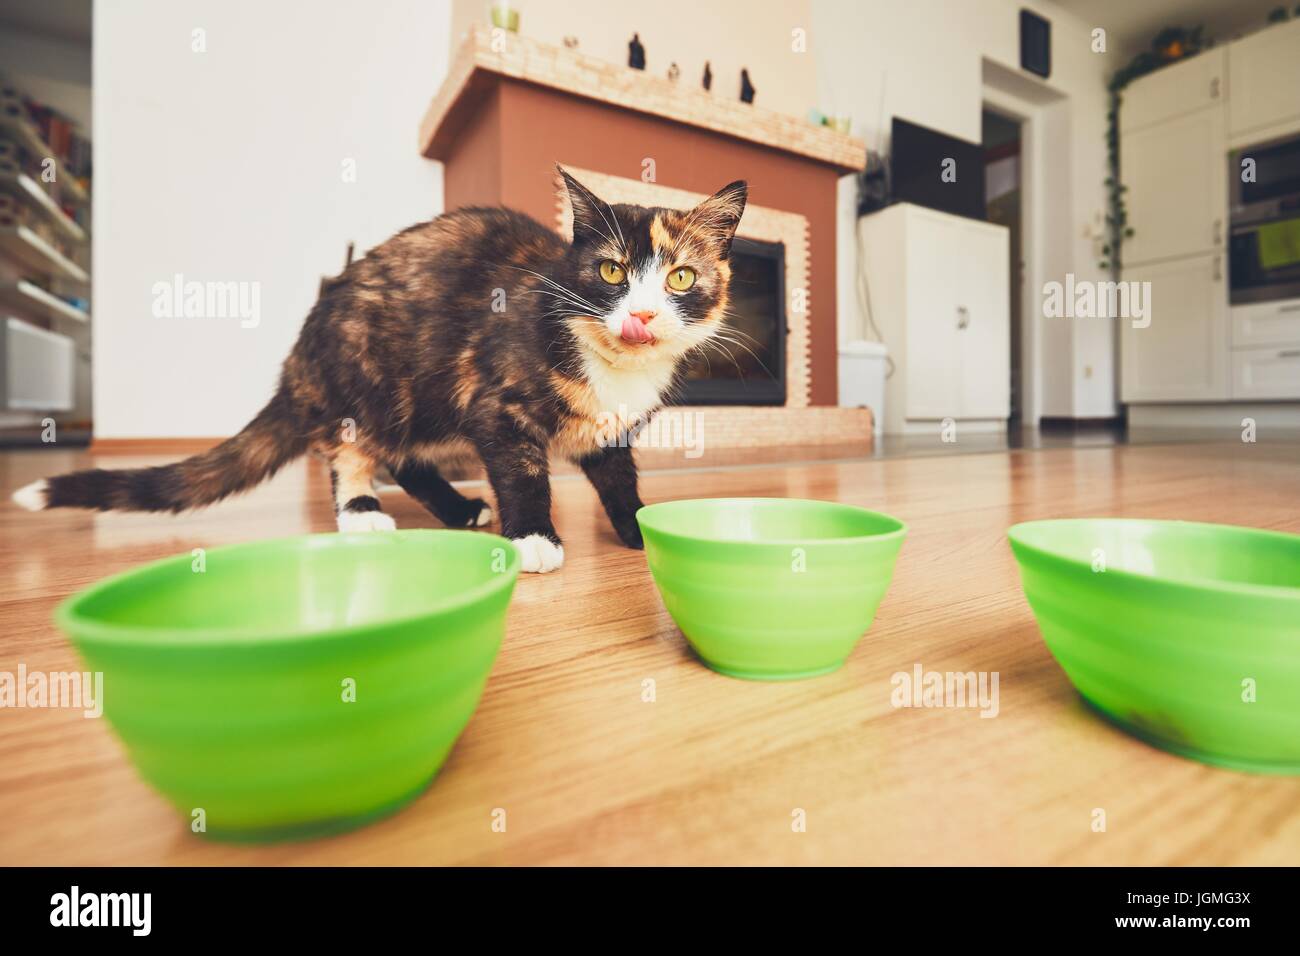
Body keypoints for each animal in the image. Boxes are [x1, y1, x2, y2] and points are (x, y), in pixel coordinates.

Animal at [10, 170, 748, 574]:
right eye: (612, 272)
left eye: (681, 277)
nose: (642, 316)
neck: (613, 366)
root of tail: (300, 355)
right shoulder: (496, 401)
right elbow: (523, 472)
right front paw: (534, 537)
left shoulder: (612, 430)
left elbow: (620, 479)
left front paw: (641, 528)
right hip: (368, 379)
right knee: (352, 450)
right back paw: (361, 508)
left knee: (407, 458)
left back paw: (458, 508)